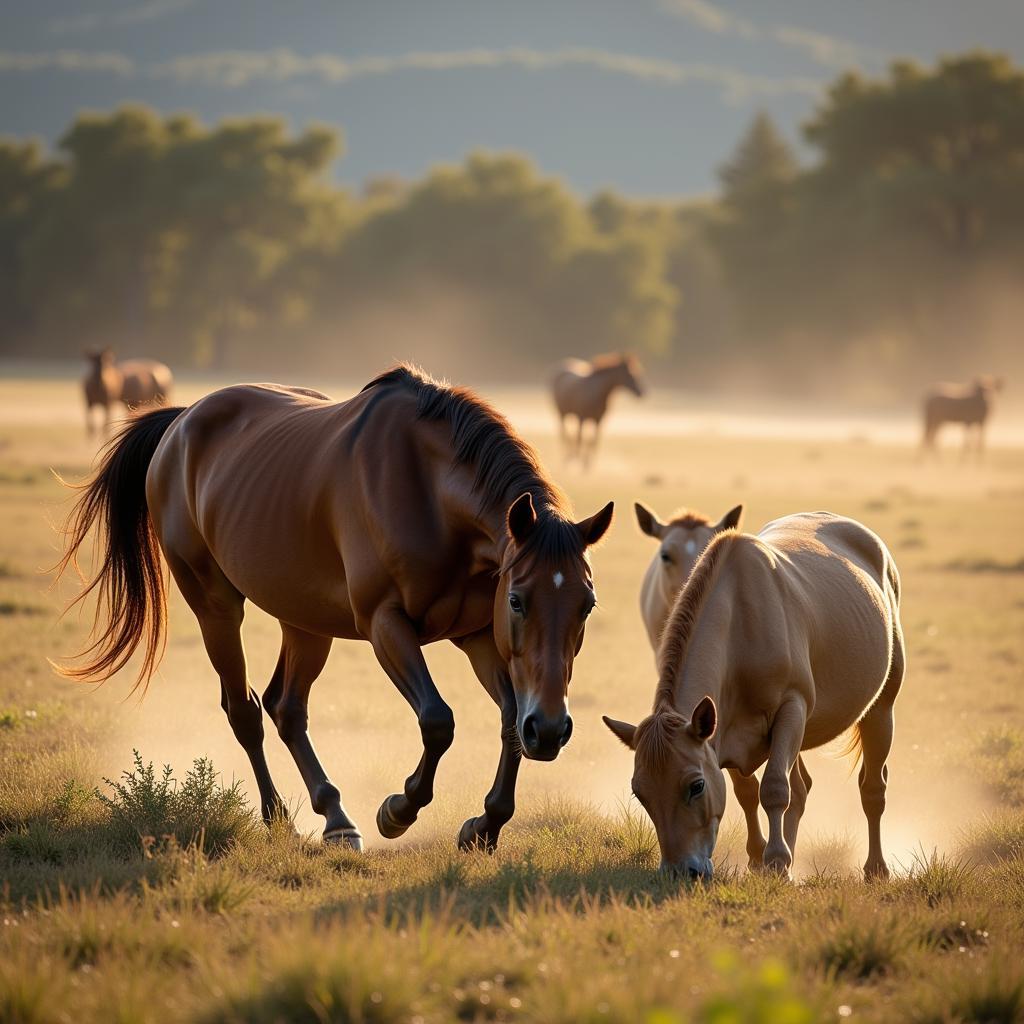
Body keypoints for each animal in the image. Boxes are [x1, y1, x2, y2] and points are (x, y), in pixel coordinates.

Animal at [58, 364, 614, 851]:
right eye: (518, 600)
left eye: (586, 606)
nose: (550, 729)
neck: (430, 495)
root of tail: (181, 422)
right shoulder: (386, 625)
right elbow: (438, 720)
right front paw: (398, 810)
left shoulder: (478, 636)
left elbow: (509, 723)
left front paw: (485, 826)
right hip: (216, 607)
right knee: (246, 712)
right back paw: (281, 818)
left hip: (305, 621)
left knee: (286, 707)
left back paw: (335, 818)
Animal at [606, 512, 905, 880]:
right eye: (640, 793)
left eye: (696, 786)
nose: (680, 872)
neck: (741, 623)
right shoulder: (722, 728)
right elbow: (747, 792)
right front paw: (759, 859)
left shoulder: (791, 709)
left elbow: (775, 788)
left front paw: (775, 860)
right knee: (802, 788)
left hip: (881, 709)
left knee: (872, 788)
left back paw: (875, 867)